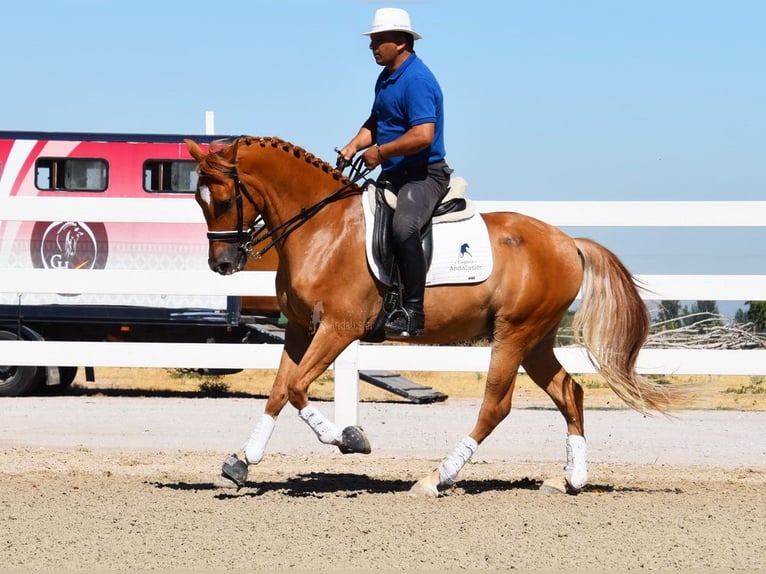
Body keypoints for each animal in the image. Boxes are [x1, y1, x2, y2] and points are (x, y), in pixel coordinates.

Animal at [186, 137, 688, 498]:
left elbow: (295, 388)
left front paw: (350, 439)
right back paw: (569, 479)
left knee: (496, 405)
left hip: (514, 334)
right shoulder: (298, 328)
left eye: (225, 199)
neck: (321, 229)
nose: (222, 264)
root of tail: (569, 242)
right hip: (536, 339)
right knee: (570, 391)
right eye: (199, 199)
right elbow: (278, 391)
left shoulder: (338, 329)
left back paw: (437, 478)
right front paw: (241, 462)